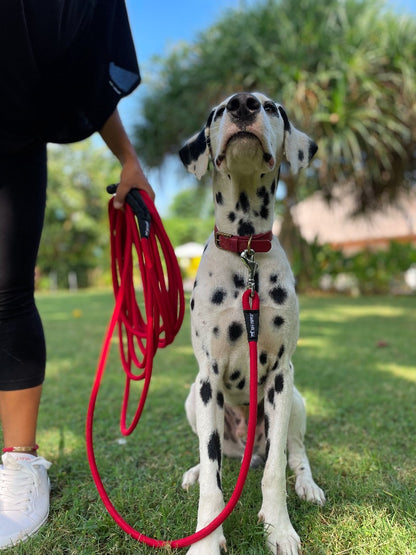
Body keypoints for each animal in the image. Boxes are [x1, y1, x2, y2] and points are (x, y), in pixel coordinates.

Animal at [179, 93, 324, 552]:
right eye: (218, 111)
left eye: (272, 106)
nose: (243, 105)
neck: (245, 251)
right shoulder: (207, 379)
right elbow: (212, 477)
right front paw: (206, 539)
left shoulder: (280, 376)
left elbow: (276, 468)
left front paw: (279, 528)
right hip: (193, 399)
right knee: (213, 456)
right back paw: (193, 471)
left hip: (297, 400)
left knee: (295, 454)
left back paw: (308, 485)